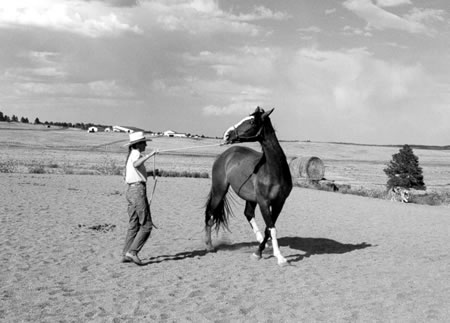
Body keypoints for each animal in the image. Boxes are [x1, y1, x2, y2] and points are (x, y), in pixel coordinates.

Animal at [204, 106, 292, 266]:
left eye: (251, 121)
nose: (227, 134)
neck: (273, 170)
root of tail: (225, 155)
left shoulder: (279, 203)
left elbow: (269, 228)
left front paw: (259, 252)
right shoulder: (264, 202)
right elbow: (272, 228)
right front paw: (279, 257)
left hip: (249, 198)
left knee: (248, 214)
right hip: (219, 190)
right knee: (210, 213)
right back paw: (209, 246)